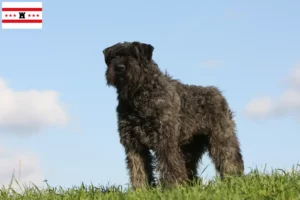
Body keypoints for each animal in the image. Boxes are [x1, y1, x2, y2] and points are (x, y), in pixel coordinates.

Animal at [102, 41, 244, 189]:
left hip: (221, 138)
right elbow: (138, 168)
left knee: (230, 159)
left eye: (134, 55)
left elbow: (169, 165)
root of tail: (219, 94)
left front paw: (173, 188)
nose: (120, 67)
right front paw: (142, 189)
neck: (139, 96)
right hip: (190, 148)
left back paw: (234, 180)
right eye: (114, 56)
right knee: (189, 168)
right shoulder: (133, 143)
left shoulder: (165, 139)